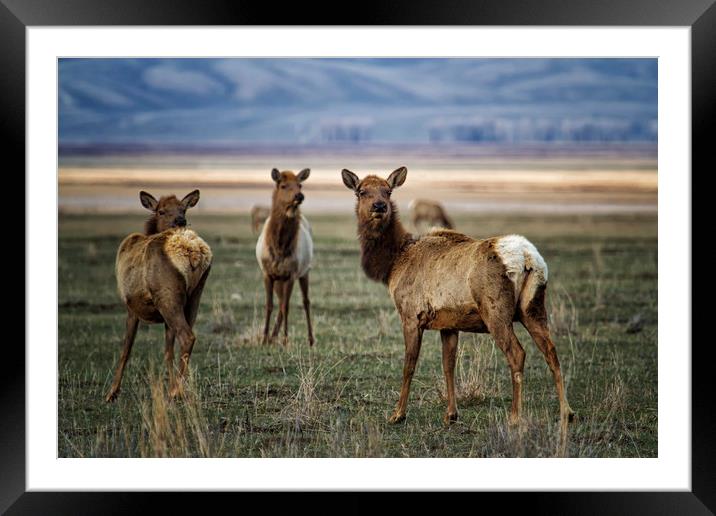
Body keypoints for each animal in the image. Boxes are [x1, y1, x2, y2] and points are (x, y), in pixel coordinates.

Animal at [105, 190, 213, 404]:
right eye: (161, 211)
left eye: (183, 208)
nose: (181, 220)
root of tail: (192, 251)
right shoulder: (164, 317)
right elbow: (167, 351)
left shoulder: (131, 307)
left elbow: (126, 349)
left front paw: (112, 393)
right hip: (193, 297)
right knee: (184, 336)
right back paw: (177, 391)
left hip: (167, 296)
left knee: (187, 336)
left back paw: (176, 392)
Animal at [256, 169, 314, 346]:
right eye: (283, 185)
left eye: (300, 184)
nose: (299, 196)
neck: (280, 247)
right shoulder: (267, 274)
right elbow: (269, 305)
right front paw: (264, 338)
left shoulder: (291, 274)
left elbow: (286, 307)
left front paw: (286, 339)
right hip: (279, 280)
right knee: (281, 301)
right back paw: (273, 337)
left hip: (304, 272)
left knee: (305, 302)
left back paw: (310, 339)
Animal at [342, 167, 576, 438]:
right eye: (362, 191)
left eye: (388, 191)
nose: (379, 206)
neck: (394, 263)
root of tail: (528, 258)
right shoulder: (448, 324)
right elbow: (448, 365)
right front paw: (451, 415)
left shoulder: (410, 315)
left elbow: (409, 365)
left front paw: (397, 414)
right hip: (534, 308)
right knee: (551, 351)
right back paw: (567, 413)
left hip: (496, 312)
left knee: (518, 354)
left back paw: (515, 418)